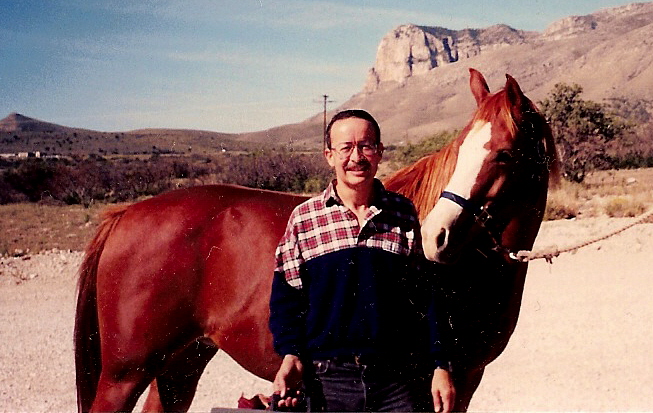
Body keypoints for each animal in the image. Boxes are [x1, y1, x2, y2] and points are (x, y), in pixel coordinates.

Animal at [75, 69, 556, 410]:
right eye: (461, 149)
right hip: (125, 374)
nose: (434, 237)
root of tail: (125, 215)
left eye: (505, 154)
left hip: (181, 364)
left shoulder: (463, 383)